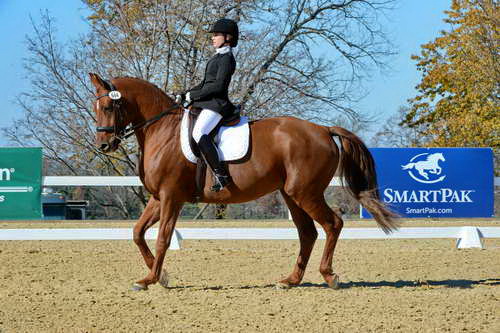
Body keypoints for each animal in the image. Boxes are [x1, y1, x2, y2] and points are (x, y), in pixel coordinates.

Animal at [87, 73, 398, 290]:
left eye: (109, 106)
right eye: (96, 106)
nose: (103, 145)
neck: (162, 130)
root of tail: (323, 129)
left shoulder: (171, 196)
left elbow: (162, 238)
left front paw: (152, 278)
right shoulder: (158, 197)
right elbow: (137, 233)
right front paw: (159, 276)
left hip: (305, 193)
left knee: (332, 224)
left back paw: (329, 276)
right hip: (291, 194)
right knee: (307, 233)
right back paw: (289, 280)